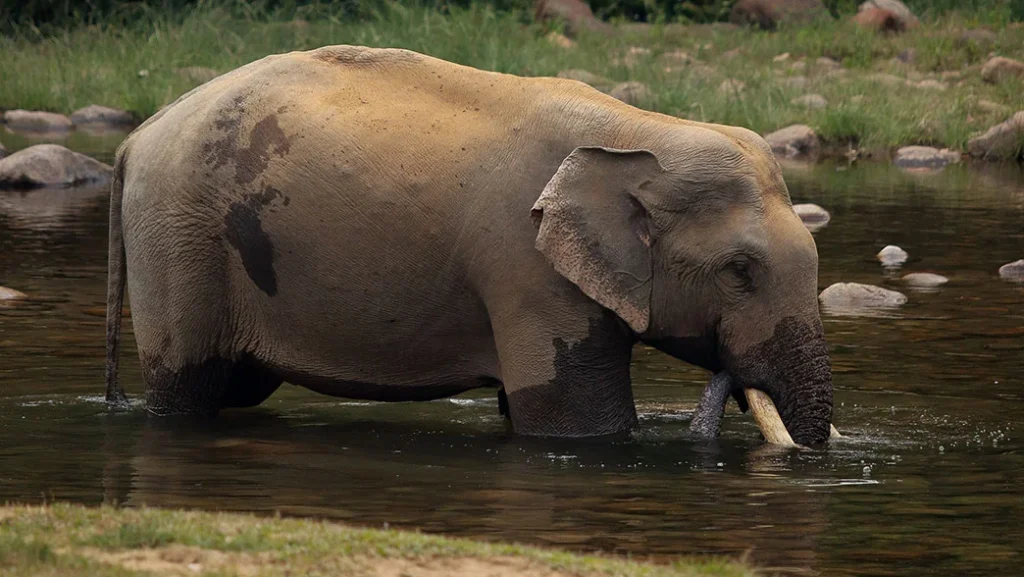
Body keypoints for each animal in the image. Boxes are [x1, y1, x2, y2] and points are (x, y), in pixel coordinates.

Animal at [105, 45, 834, 446]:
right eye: (739, 271)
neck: (636, 131)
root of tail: (135, 139)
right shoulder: (525, 266)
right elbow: (578, 424)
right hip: (178, 238)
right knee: (190, 390)